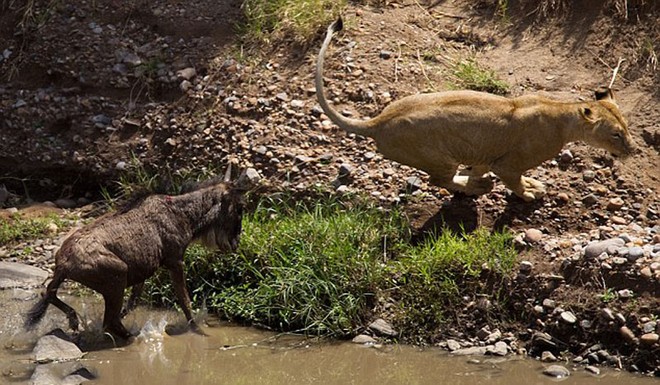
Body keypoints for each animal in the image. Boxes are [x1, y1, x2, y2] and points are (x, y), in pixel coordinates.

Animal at [23, 175, 246, 340]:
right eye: (239, 209)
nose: (236, 243)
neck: (183, 214)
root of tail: (63, 263)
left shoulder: (143, 271)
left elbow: (133, 303)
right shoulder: (175, 261)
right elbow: (184, 300)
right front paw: (198, 330)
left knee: (49, 293)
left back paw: (74, 321)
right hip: (117, 279)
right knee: (109, 321)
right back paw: (132, 337)